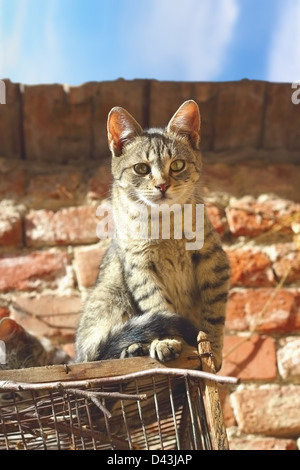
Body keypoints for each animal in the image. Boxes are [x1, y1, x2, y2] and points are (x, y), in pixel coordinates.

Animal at [75, 101, 230, 372]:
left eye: (177, 165)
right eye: (141, 168)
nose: (162, 185)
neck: (164, 224)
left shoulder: (214, 261)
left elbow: (214, 314)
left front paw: (212, 349)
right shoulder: (140, 269)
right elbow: (158, 305)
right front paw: (167, 341)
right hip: (111, 296)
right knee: (101, 351)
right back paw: (133, 348)